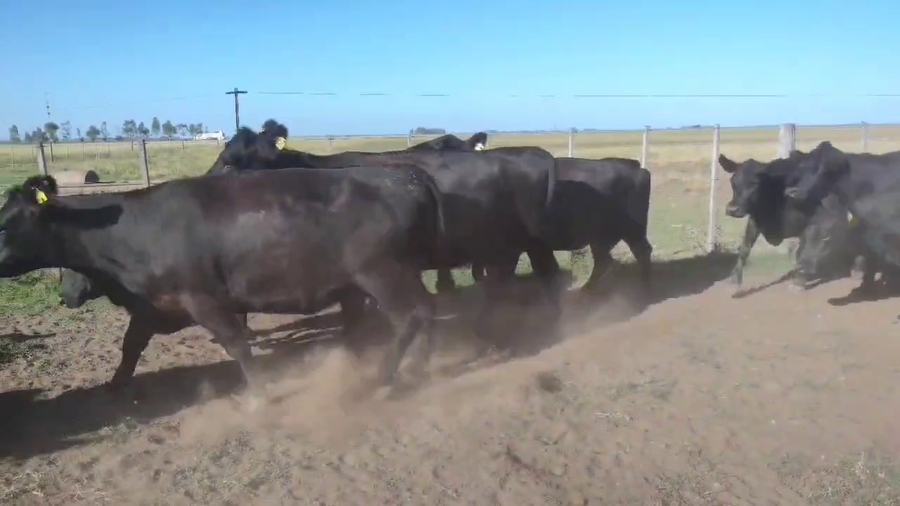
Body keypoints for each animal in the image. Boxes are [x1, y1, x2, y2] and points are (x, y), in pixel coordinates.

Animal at [0, 165, 446, 393]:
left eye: (6, 222)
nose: (67, 295)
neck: (133, 229)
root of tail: (407, 175)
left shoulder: (203, 298)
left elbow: (237, 343)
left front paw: (261, 391)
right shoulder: (154, 305)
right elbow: (130, 346)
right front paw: (115, 387)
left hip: (383, 274)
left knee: (410, 316)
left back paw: (382, 376)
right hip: (386, 278)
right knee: (424, 314)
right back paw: (418, 367)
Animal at [717, 151, 857, 290]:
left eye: (755, 183)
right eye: (733, 181)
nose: (732, 209)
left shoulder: (816, 223)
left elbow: (804, 251)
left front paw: (799, 280)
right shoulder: (754, 220)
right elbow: (745, 248)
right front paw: (735, 279)